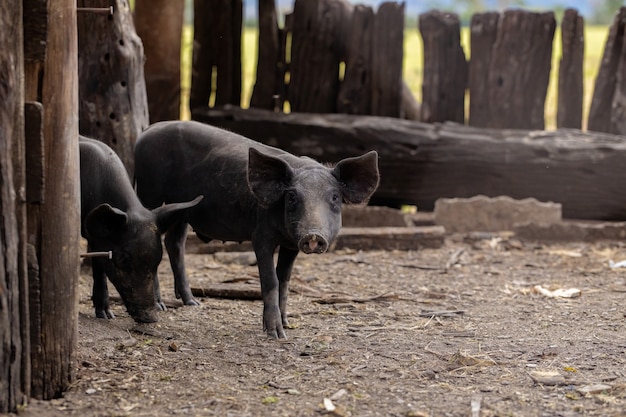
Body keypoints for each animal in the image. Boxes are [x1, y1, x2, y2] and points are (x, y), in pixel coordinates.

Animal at [80, 136, 202, 322]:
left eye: (158, 260)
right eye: (123, 259)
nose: (150, 317)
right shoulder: (94, 239)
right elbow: (99, 271)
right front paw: (106, 316)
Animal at [134, 121, 378, 338]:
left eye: (335, 197)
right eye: (292, 197)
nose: (313, 235)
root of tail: (147, 131)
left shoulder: (291, 245)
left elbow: (284, 280)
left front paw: (287, 325)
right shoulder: (260, 236)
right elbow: (271, 281)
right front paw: (276, 334)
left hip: (182, 210)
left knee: (175, 243)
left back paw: (193, 303)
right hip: (149, 192)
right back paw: (160, 306)